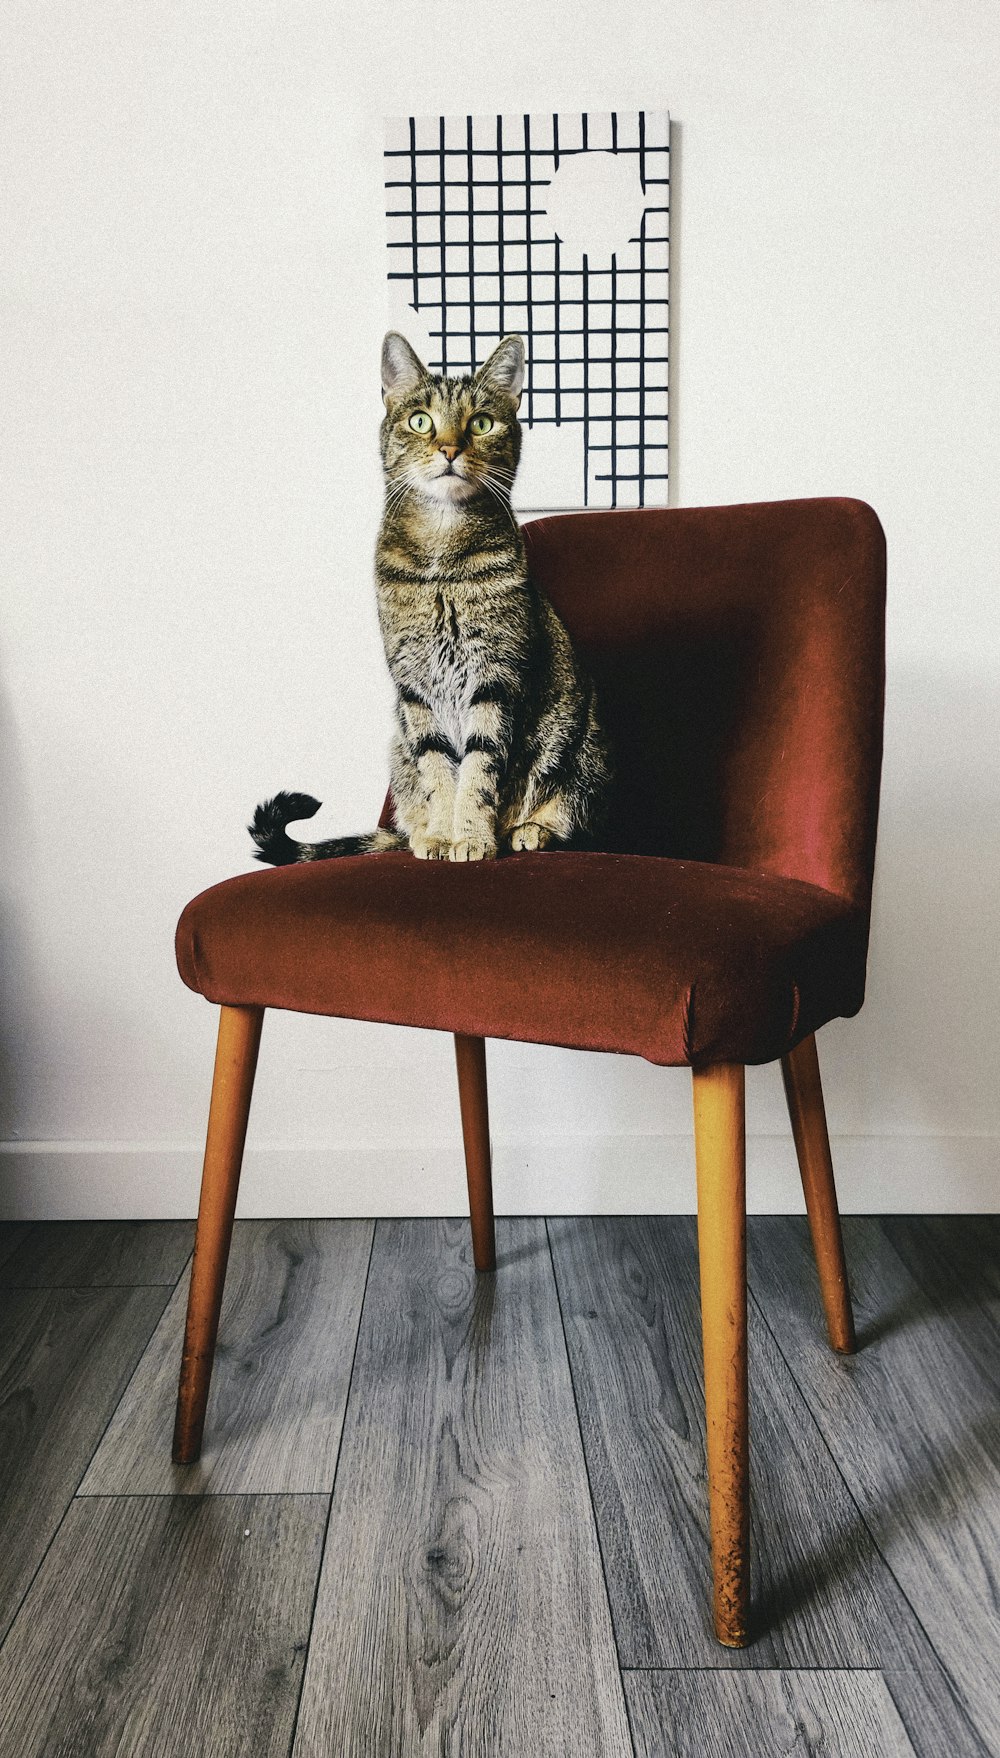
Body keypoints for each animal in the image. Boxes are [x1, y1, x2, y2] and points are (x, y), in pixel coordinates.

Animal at [247, 330, 608, 864]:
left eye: (481, 423)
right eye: (421, 421)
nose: (449, 448)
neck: (441, 564)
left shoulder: (495, 677)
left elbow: (479, 769)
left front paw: (472, 837)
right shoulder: (414, 687)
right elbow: (438, 770)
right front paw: (442, 834)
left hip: (583, 751)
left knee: (561, 811)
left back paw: (527, 831)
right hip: (398, 747)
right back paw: (420, 834)